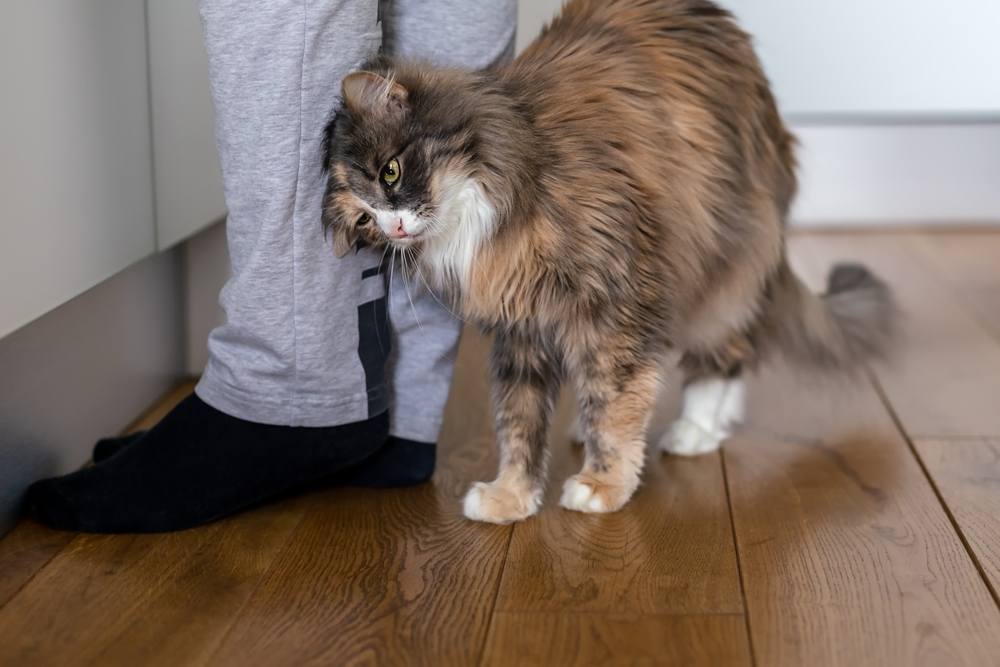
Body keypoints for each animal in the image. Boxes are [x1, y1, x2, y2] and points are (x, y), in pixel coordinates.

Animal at [322, 0, 900, 528]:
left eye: (391, 171)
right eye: (366, 220)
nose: (393, 228)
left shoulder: (619, 303)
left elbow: (616, 403)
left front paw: (604, 484)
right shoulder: (521, 328)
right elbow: (519, 421)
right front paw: (512, 497)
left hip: (716, 269)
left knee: (728, 351)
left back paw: (697, 429)